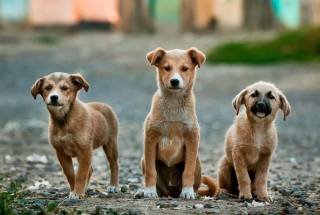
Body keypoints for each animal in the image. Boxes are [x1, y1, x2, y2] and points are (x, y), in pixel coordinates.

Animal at [141, 47, 219, 199]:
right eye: (166, 68)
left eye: (185, 68)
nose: (174, 81)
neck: (173, 103)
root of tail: (172, 192)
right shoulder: (150, 139)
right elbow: (151, 171)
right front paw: (149, 191)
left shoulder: (192, 139)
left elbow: (187, 171)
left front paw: (187, 192)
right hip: (143, 160)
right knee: (160, 188)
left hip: (197, 162)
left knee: (194, 183)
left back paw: (190, 192)